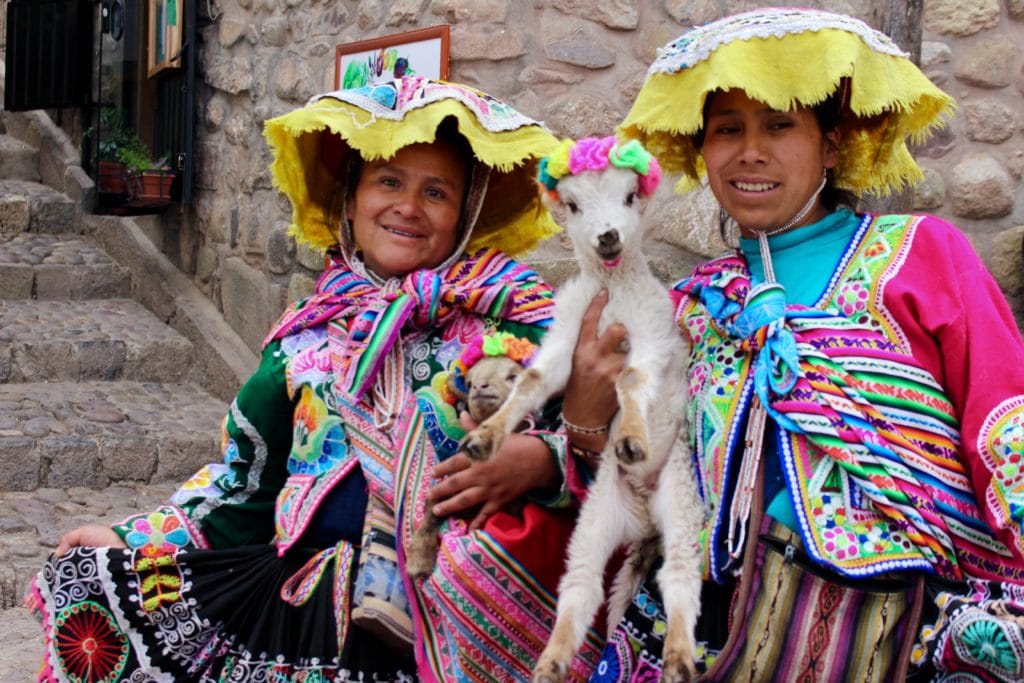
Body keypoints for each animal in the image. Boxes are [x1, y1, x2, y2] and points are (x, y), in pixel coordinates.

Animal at [462, 136, 708, 679]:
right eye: (572, 206)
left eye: (630, 195)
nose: (609, 237)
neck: (611, 291)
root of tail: (643, 517)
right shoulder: (566, 341)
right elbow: (533, 381)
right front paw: (487, 436)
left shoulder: (651, 336)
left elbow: (632, 379)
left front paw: (632, 437)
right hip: (596, 519)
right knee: (581, 585)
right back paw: (552, 659)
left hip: (681, 499)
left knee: (680, 577)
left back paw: (680, 654)